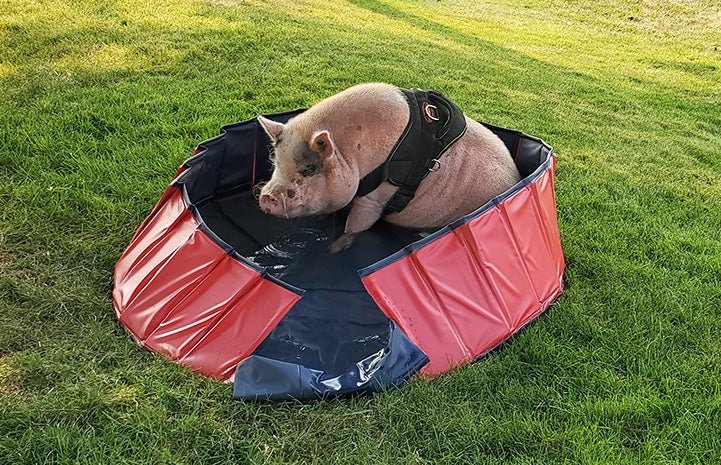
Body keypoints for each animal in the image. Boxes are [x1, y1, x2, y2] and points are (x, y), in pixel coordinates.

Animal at [256, 83, 521, 253]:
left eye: (309, 169)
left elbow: (356, 225)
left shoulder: (374, 198)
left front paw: (332, 250)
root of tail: (516, 176)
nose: (266, 196)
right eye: (275, 161)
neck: (351, 150)